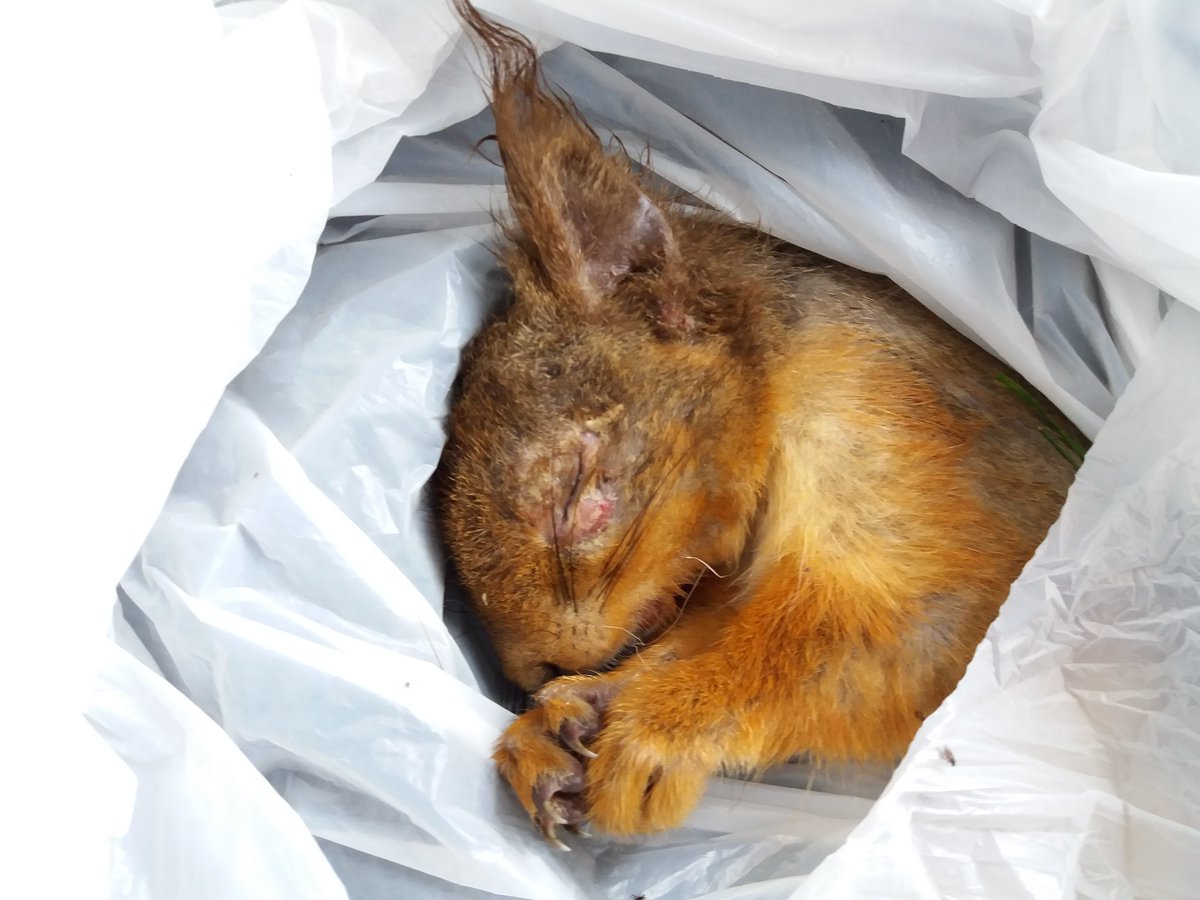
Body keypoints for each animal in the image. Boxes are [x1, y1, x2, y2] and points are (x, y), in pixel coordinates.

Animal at [436, 0, 1081, 846]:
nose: (528, 671)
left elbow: (868, 637)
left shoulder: (908, 445)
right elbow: (699, 634)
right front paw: (554, 726)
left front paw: (657, 727)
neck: (779, 382)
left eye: (576, 489)